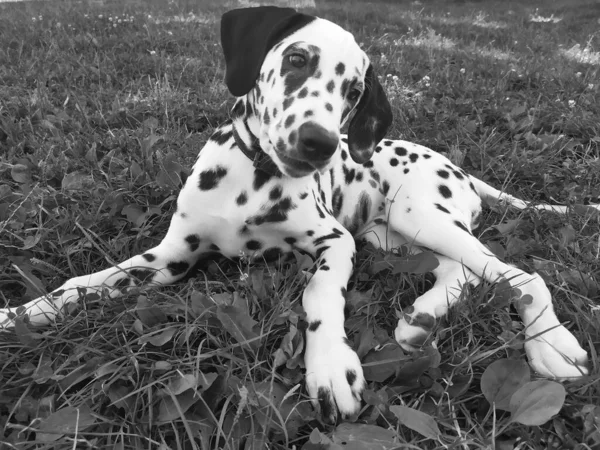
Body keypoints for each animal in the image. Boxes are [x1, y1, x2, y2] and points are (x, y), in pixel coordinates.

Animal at [0, 6, 592, 422]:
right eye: (297, 59)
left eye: (353, 90)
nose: (320, 143)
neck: (253, 178)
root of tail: (459, 168)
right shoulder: (169, 258)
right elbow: (86, 283)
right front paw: (22, 313)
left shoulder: (335, 242)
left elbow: (319, 293)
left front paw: (328, 365)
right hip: (395, 236)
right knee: (462, 271)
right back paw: (421, 319)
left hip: (419, 213)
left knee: (518, 275)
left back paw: (552, 344)